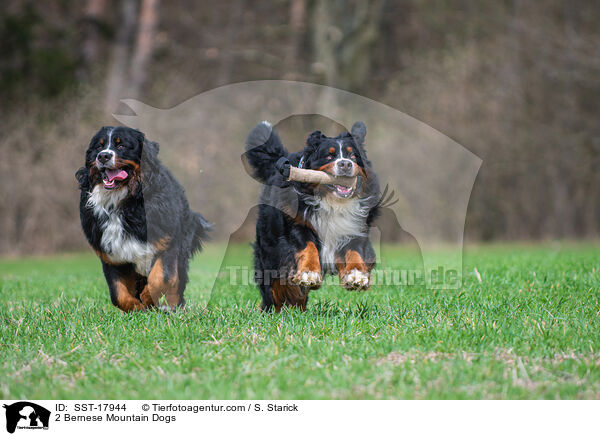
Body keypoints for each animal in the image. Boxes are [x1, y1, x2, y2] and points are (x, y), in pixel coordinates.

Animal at [75, 124, 211, 312]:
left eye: (121, 145)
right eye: (99, 146)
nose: (103, 156)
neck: (123, 203)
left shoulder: (168, 243)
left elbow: (161, 278)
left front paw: (148, 298)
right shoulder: (113, 257)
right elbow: (118, 294)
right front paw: (136, 307)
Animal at [244, 119, 380, 310]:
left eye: (353, 156)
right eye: (329, 156)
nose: (345, 164)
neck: (333, 202)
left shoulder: (355, 227)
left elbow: (355, 251)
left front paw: (357, 275)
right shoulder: (297, 225)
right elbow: (308, 247)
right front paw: (309, 274)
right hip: (269, 251)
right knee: (274, 287)